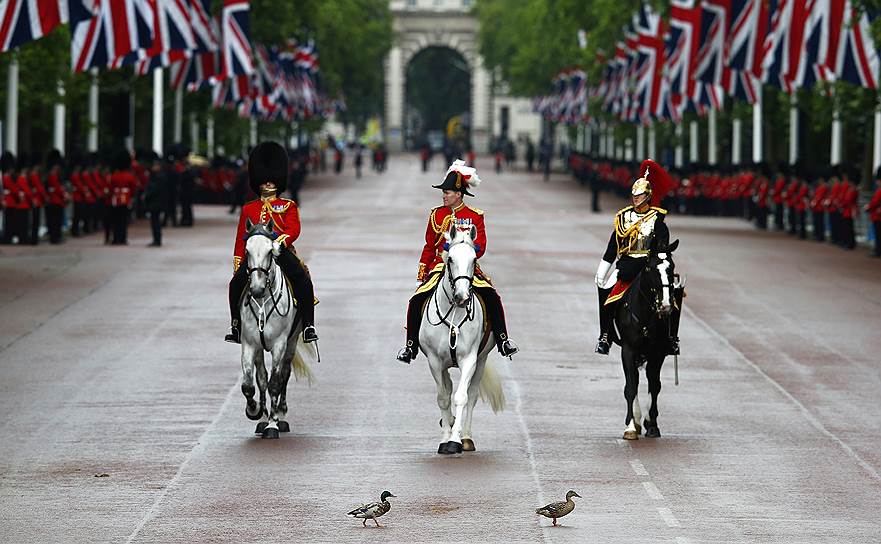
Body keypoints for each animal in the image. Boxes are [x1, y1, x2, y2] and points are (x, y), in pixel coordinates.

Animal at [239, 220, 314, 438]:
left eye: (270, 251)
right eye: (246, 251)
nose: (256, 290)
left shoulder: (280, 343)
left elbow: (275, 382)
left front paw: (273, 424)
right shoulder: (249, 343)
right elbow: (250, 384)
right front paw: (255, 411)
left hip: (292, 341)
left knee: (284, 374)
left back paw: (281, 414)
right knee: (262, 377)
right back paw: (263, 417)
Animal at [422, 222, 506, 454]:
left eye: (474, 260)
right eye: (450, 258)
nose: (462, 297)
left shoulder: (469, 359)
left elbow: (462, 397)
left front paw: (454, 441)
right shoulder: (434, 361)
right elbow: (443, 398)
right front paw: (445, 437)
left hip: (481, 360)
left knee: (472, 394)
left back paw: (466, 437)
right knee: (448, 385)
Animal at [612, 240, 680, 440]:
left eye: (672, 267)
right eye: (650, 268)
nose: (665, 305)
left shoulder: (658, 352)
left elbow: (655, 385)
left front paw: (652, 424)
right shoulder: (628, 350)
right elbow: (631, 386)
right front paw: (630, 427)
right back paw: (635, 419)